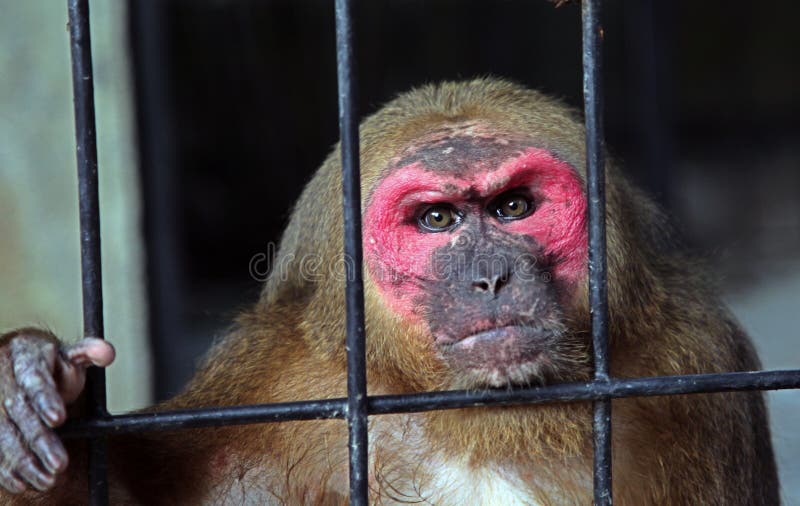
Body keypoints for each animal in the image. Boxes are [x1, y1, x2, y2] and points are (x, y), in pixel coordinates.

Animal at [0, 78, 779, 505]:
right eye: (437, 220)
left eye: (513, 208)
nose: (490, 278)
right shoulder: (278, 383)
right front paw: (22, 392)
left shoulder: (693, 364)